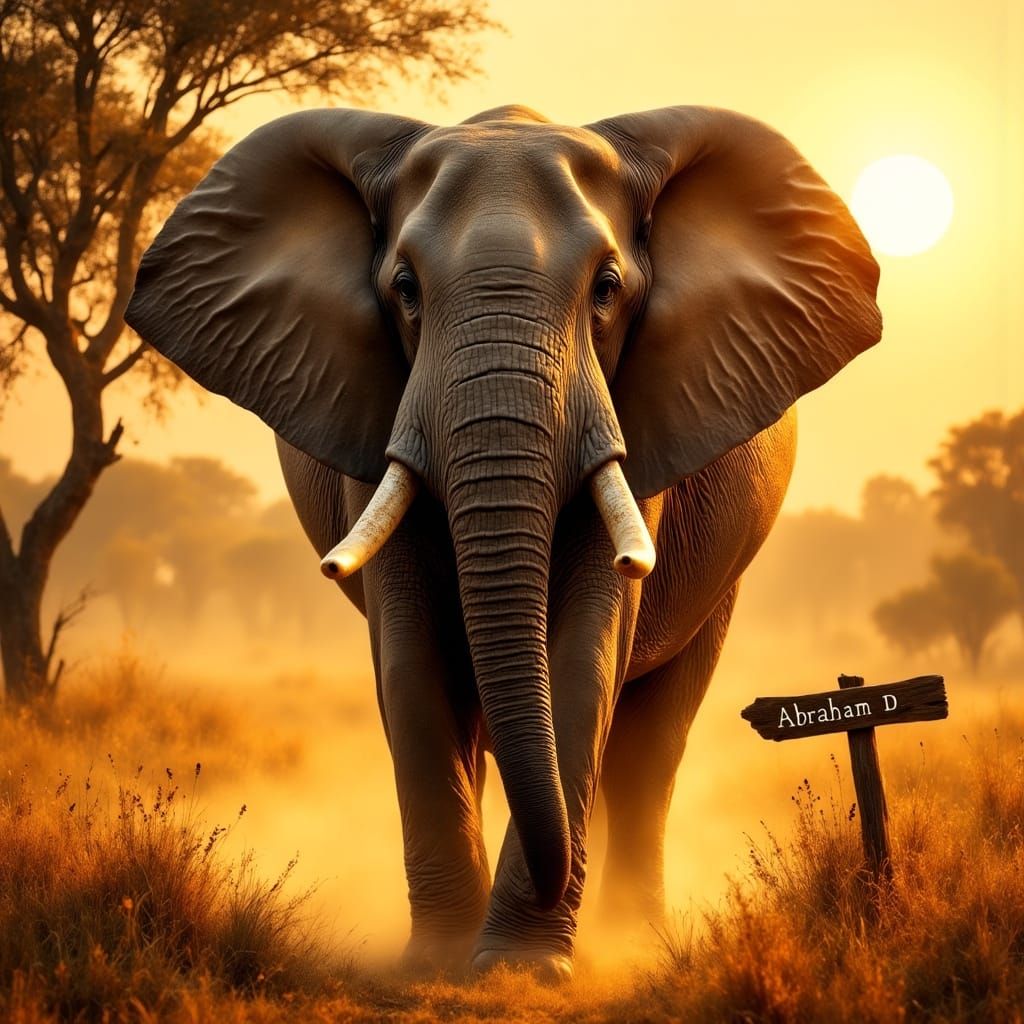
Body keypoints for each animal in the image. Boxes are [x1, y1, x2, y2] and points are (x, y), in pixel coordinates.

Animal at [125, 103, 881, 980]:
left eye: (607, 290)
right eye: (406, 290)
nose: (553, 886)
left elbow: (587, 650)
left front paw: (523, 967)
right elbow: (412, 656)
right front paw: (439, 961)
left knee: (651, 745)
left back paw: (634, 937)